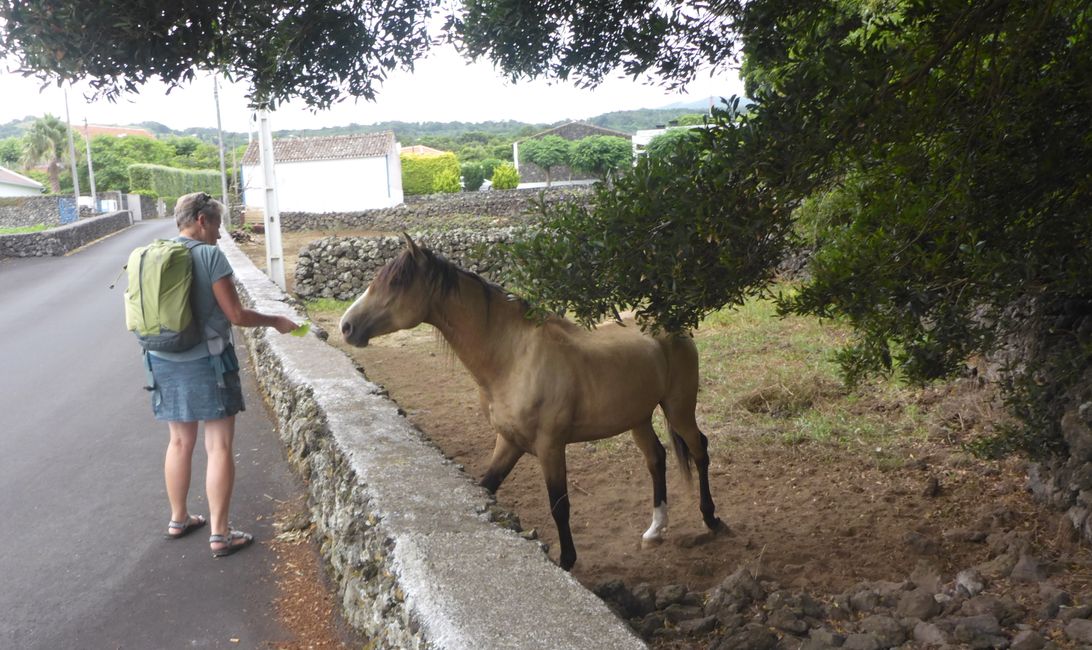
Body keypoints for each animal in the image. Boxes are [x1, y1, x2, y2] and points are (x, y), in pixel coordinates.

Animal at [339, 234, 724, 570]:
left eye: (397, 281)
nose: (346, 326)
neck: (512, 358)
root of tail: (671, 326)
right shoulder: (509, 441)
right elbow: (487, 487)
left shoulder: (550, 446)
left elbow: (560, 506)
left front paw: (567, 561)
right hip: (638, 416)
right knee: (656, 459)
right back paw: (655, 529)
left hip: (678, 408)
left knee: (699, 449)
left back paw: (711, 518)